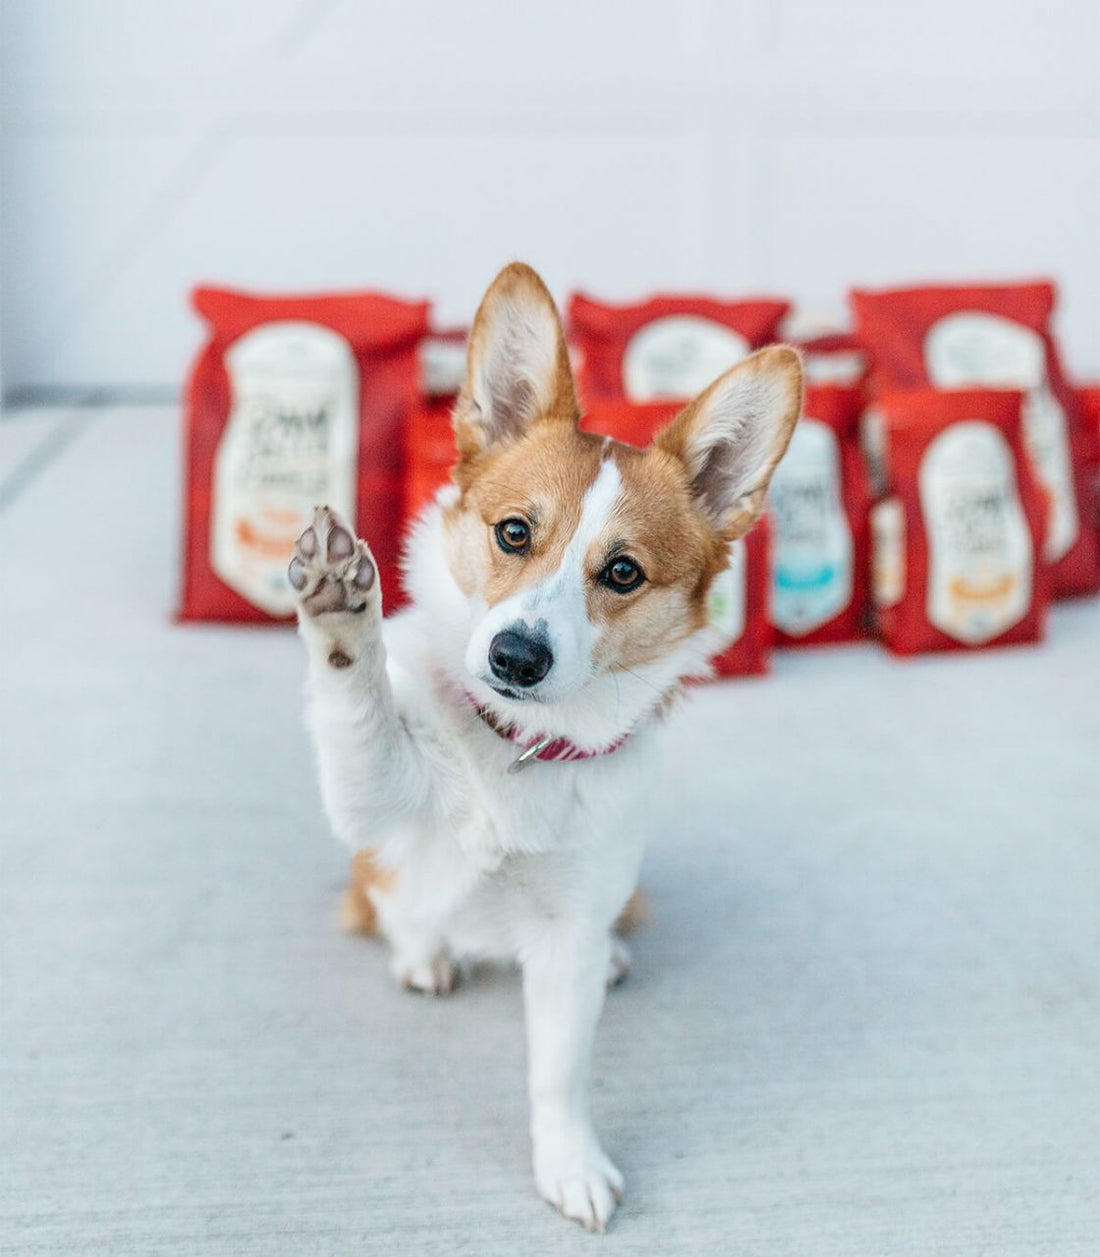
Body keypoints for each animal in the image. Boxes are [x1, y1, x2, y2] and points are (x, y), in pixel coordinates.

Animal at [287, 260, 804, 1231]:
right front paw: (340, 609)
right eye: (514, 531)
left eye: (623, 571)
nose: (515, 657)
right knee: (401, 911)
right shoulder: (376, 802)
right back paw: (425, 951)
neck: (521, 747)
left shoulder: (566, 934)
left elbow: (558, 1071)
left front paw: (570, 1161)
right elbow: (359, 703)